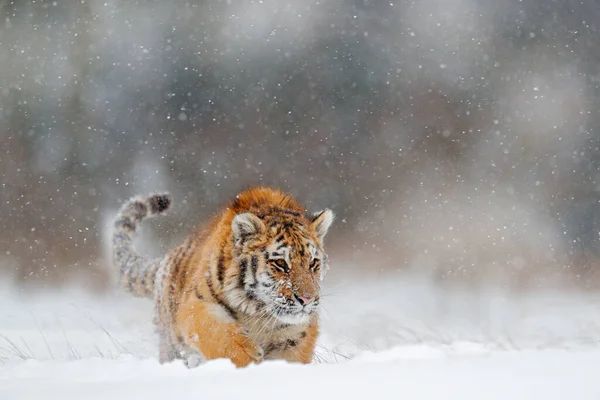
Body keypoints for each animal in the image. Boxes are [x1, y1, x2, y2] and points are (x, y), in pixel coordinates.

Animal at [111, 186, 332, 368]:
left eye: (313, 263)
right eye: (280, 263)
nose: (306, 299)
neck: (257, 311)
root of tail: (166, 259)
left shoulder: (295, 334)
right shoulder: (195, 305)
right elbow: (217, 333)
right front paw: (248, 359)